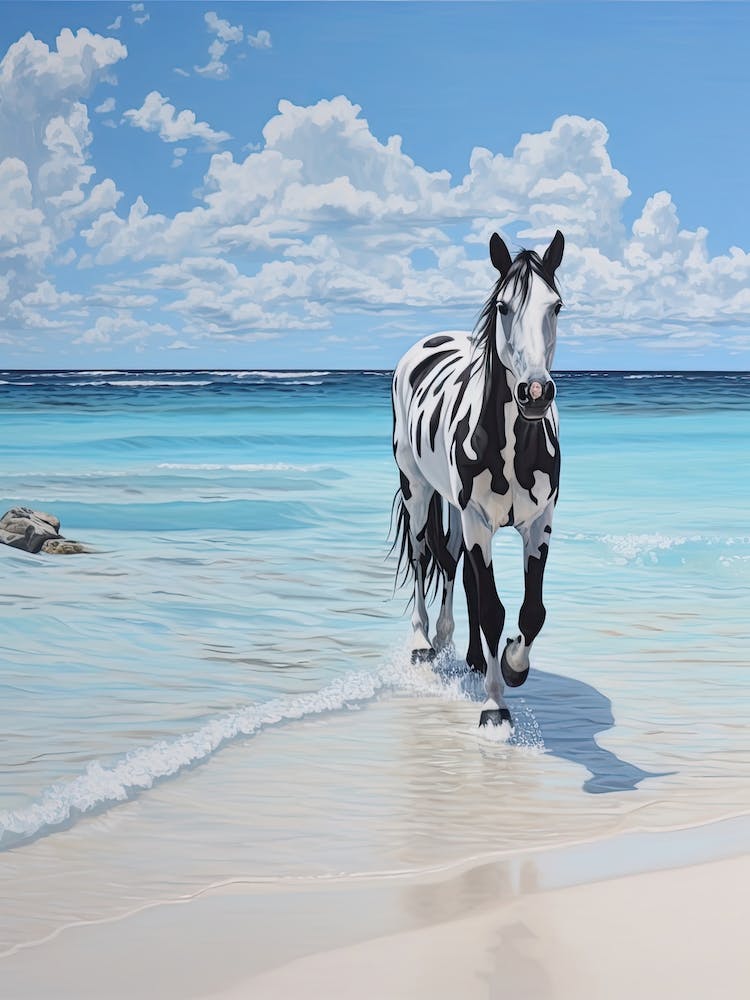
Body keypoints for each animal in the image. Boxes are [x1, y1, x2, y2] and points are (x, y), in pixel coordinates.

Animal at [391, 230, 564, 728]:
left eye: (557, 306)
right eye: (503, 306)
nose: (534, 393)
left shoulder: (539, 523)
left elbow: (530, 611)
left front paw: (512, 664)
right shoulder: (478, 522)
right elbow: (491, 608)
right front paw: (494, 704)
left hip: (453, 505)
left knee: (455, 564)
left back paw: (465, 652)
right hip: (417, 489)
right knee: (424, 556)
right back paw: (424, 642)